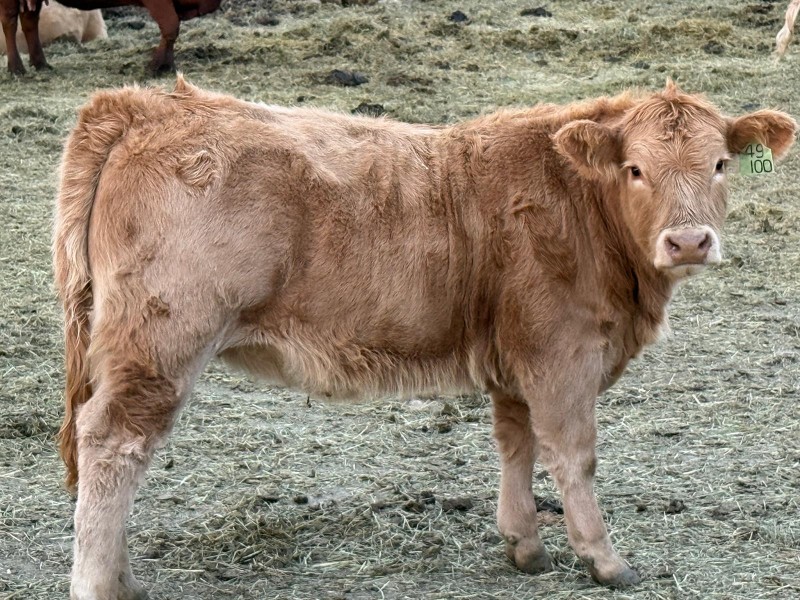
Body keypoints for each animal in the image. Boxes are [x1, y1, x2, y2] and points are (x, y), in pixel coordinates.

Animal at [1, 0, 220, 76]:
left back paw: (40, 63)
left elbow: (171, 31)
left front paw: (167, 65)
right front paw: (156, 67)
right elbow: (170, 28)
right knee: (10, 23)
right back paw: (16, 68)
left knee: (29, 21)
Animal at [54, 77, 795, 599]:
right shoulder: (563, 354)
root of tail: (145, 104)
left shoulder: (516, 356)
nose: (689, 241)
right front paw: (605, 560)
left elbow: (517, 443)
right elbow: (573, 454)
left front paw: (525, 546)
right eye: (635, 168)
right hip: (163, 339)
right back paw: (100, 584)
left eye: (722, 163)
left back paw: (124, 578)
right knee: (113, 444)